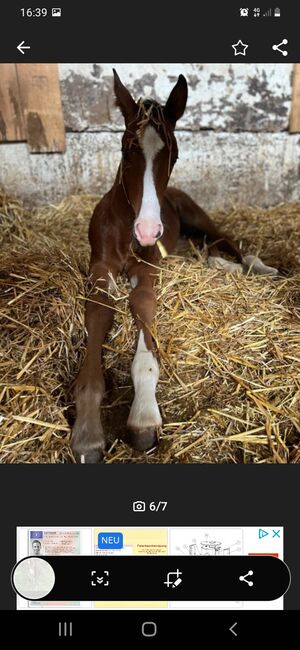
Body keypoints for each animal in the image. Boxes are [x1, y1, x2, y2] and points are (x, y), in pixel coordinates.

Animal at [71, 68, 278, 460]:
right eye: (126, 148)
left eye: (176, 154)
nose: (148, 231)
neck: (125, 228)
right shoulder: (100, 269)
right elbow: (100, 314)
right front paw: (87, 430)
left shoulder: (148, 270)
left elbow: (141, 305)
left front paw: (143, 416)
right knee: (206, 252)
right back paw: (223, 267)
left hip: (199, 218)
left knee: (227, 241)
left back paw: (256, 267)